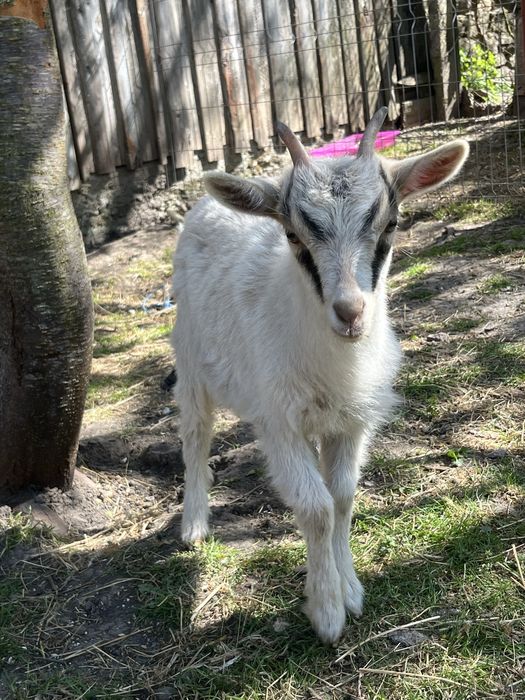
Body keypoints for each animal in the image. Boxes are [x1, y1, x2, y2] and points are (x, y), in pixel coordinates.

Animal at [172, 108, 468, 644]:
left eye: (391, 224)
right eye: (294, 236)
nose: (350, 313)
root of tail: (205, 204)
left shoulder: (351, 421)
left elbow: (343, 497)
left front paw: (349, 588)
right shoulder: (279, 422)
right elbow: (315, 507)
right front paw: (328, 611)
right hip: (189, 361)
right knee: (195, 436)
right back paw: (195, 522)